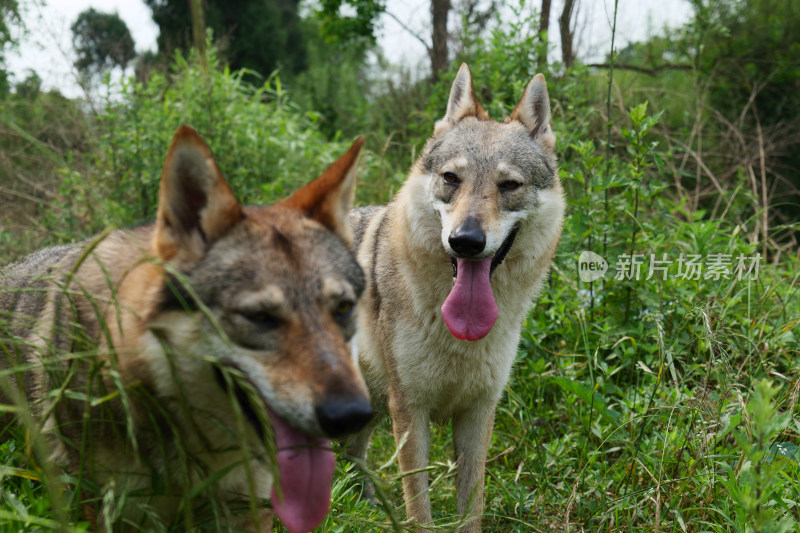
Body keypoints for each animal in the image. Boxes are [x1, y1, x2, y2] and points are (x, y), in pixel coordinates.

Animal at [346, 64, 564, 528]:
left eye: (509, 185)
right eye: (451, 179)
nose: (465, 241)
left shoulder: (479, 412)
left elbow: (471, 508)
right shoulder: (411, 410)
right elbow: (420, 509)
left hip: (371, 404)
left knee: (352, 451)